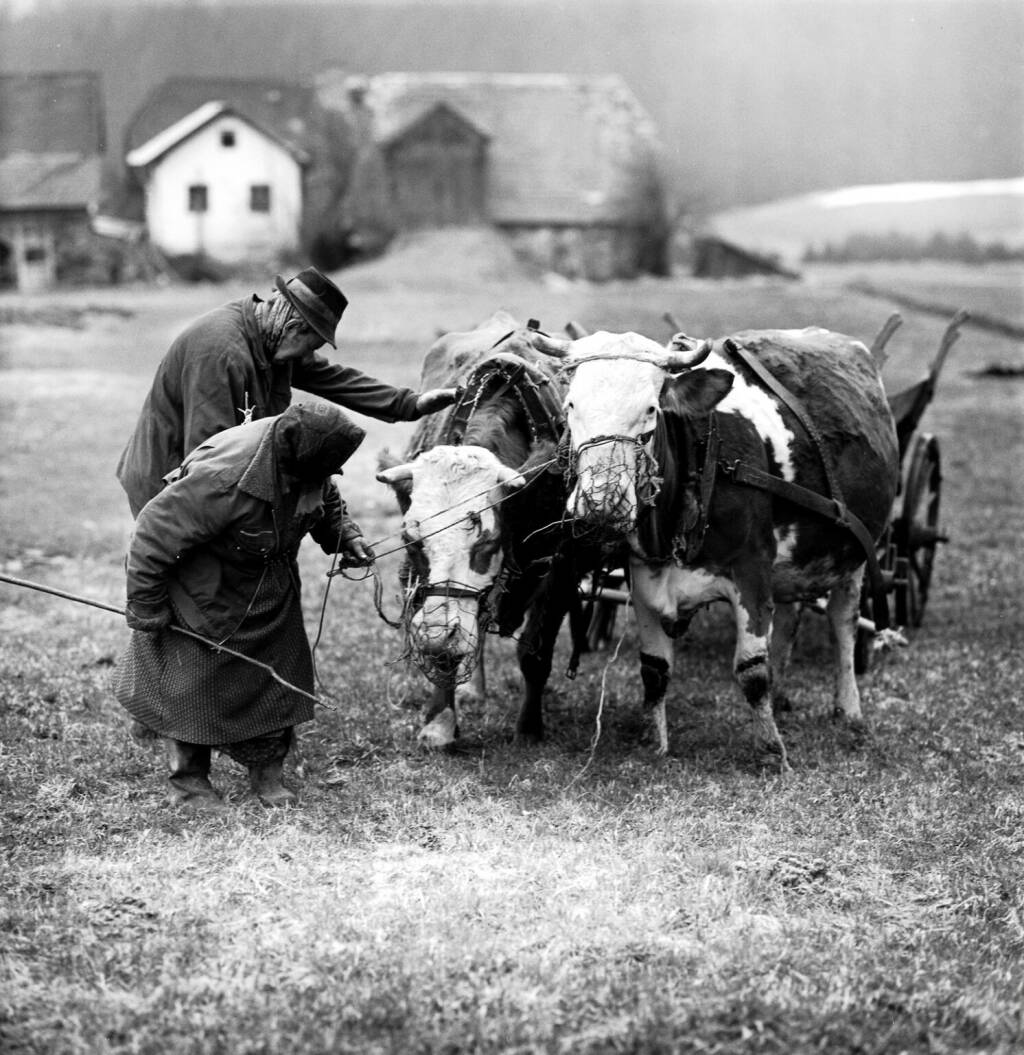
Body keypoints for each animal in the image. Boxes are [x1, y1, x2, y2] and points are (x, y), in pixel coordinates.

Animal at [377, 311, 607, 749]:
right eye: (410, 540)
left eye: (489, 541)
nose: (437, 635)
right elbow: (449, 651)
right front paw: (440, 722)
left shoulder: (560, 568)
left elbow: (535, 652)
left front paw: (529, 728)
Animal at [530, 326, 900, 769]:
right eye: (571, 404)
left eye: (651, 410)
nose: (602, 504)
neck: (698, 464)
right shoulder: (645, 579)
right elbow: (654, 669)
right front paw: (655, 743)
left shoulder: (752, 574)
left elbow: (751, 671)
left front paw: (772, 752)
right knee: (790, 617)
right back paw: (784, 695)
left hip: (852, 557)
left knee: (842, 624)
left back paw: (848, 709)